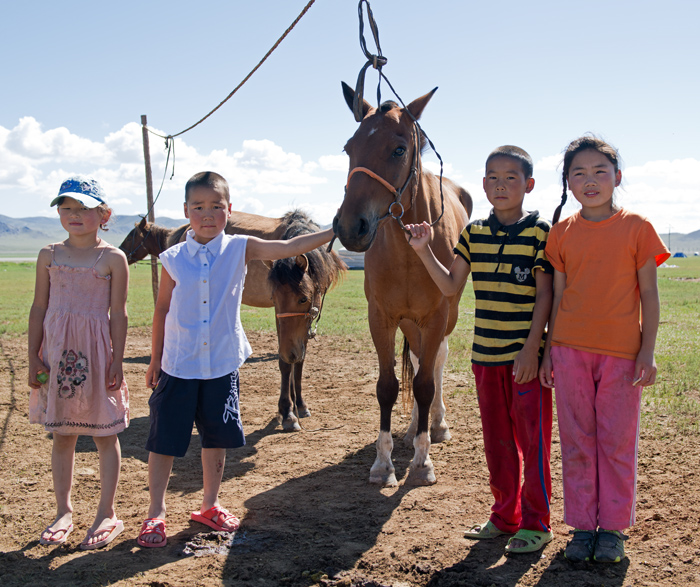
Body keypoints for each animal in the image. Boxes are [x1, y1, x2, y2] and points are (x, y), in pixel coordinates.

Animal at [330, 81, 474, 486]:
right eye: (349, 147)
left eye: (399, 149)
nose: (351, 226)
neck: (409, 254)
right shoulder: (381, 318)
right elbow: (388, 386)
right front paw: (383, 463)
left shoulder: (437, 317)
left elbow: (425, 384)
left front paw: (423, 462)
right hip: (410, 323)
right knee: (417, 358)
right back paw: (412, 430)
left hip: (442, 320)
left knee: (435, 363)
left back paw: (435, 425)